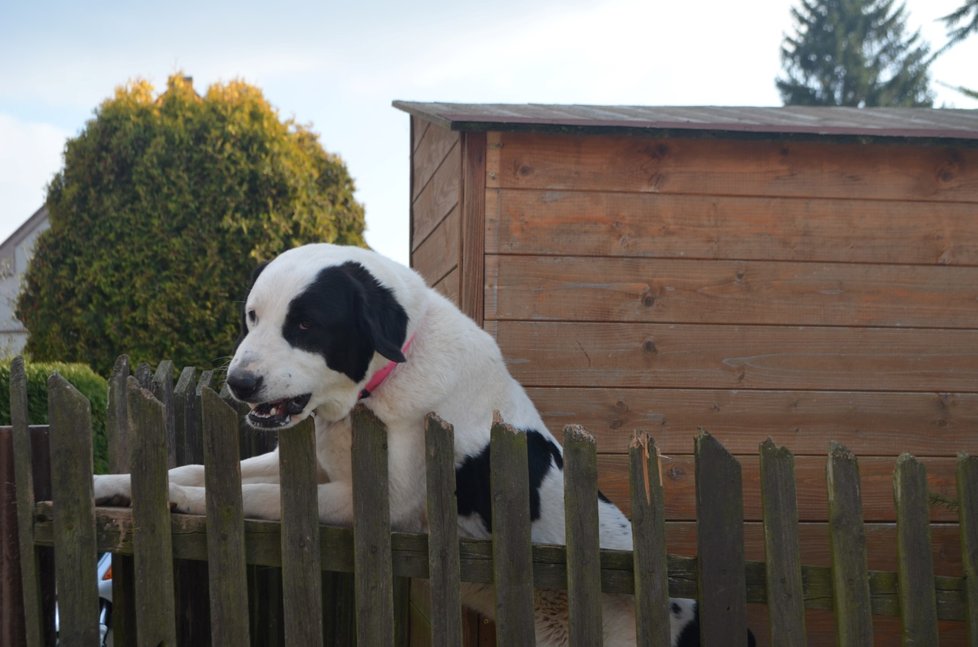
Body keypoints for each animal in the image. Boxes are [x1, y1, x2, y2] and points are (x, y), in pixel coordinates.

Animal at [97, 244, 748, 647]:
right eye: (252, 318)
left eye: (305, 325)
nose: (239, 382)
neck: (376, 388)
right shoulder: (312, 469)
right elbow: (196, 464)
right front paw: (110, 484)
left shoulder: (369, 504)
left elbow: (246, 493)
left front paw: (184, 503)